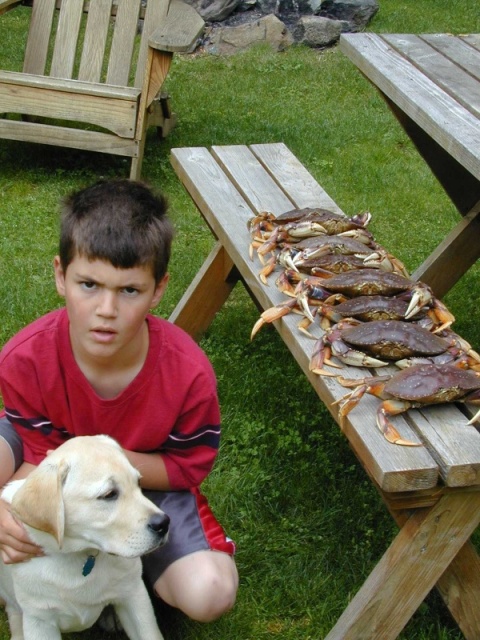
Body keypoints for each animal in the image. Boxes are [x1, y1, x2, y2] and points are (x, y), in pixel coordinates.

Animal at [0, 436, 170, 640]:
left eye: (138, 483)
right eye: (109, 494)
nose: (164, 523)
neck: (84, 554)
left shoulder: (135, 594)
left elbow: (150, 633)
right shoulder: (39, 620)